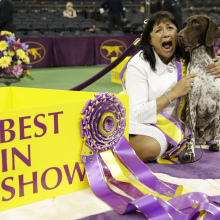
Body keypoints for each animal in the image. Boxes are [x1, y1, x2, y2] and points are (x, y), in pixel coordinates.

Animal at [178, 15, 220, 163]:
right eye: (184, 25)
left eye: (196, 23)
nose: (179, 36)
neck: (202, 63)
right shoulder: (191, 104)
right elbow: (190, 136)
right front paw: (189, 153)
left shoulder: (219, 103)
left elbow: (219, 128)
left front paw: (217, 144)